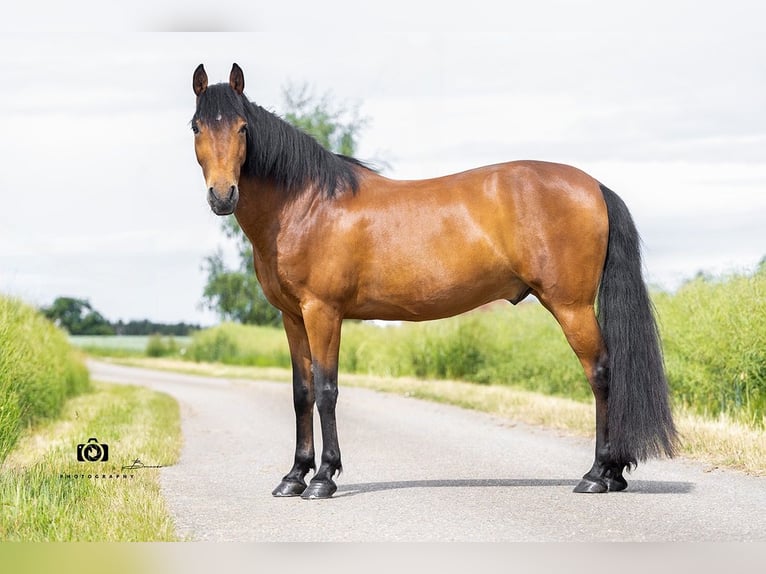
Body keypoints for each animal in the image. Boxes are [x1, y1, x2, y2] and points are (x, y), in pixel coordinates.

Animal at [190, 63, 677, 499]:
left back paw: (599, 474)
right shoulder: (292, 316)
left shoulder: (323, 313)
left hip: (572, 307)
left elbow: (327, 390)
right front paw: (294, 477)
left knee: (601, 373)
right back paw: (612, 474)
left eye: (242, 129)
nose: (222, 195)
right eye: (196, 126)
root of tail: (594, 186)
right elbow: (301, 392)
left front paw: (324, 478)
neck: (306, 204)